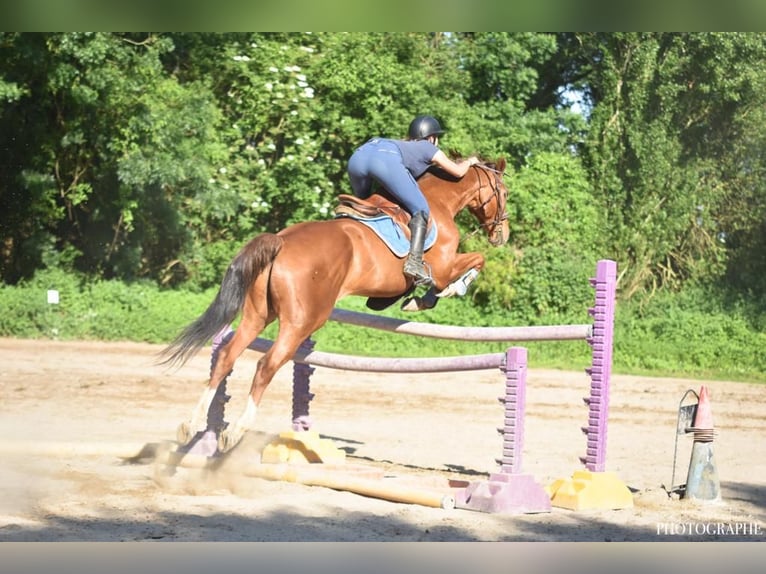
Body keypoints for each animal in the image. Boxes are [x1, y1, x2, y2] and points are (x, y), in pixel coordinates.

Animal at [162, 158, 510, 453]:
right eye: (504, 192)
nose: (502, 235)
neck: (439, 201)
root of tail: (281, 241)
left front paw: (409, 299)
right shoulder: (444, 266)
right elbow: (475, 261)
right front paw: (436, 295)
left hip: (258, 315)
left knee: (226, 357)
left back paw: (191, 424)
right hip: (303, 321)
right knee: (266, 365)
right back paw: (236, 431)